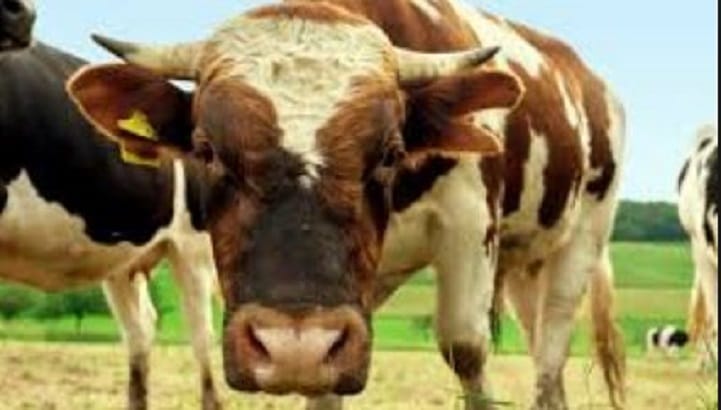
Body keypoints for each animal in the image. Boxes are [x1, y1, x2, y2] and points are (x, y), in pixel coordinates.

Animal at [64, 1, 626, 409]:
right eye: (206, 150)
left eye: (391, 151)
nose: (293, 346)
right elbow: (326, 385)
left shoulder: (469, 228)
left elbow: (465, 350)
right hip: (524, 267)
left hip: (582, 240)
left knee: (551, 352)